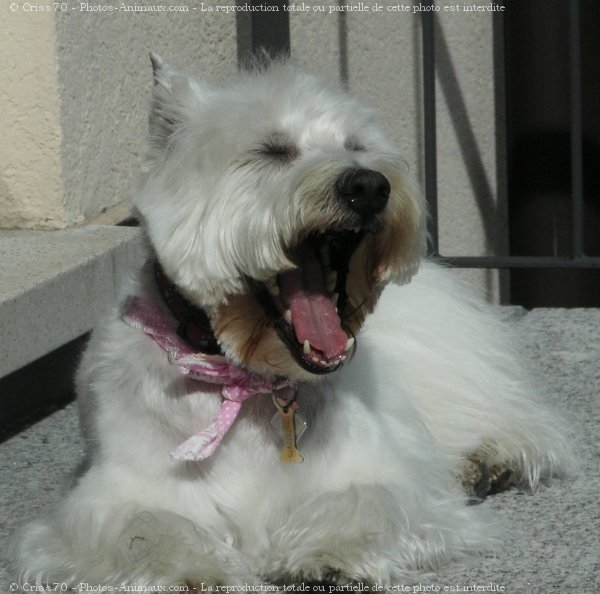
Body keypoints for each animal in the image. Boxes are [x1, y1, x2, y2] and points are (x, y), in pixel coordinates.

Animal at [12, 55, 572, 588]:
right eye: (272, 151)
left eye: (358, 146)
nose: (368, 185)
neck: (247, 381)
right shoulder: (114, 492)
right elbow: (145, 526)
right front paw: (194, 568)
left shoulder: (381, 475)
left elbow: (364, 501)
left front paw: (325, 554)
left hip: (448, 369)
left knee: (510, 415)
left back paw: (490, 457)